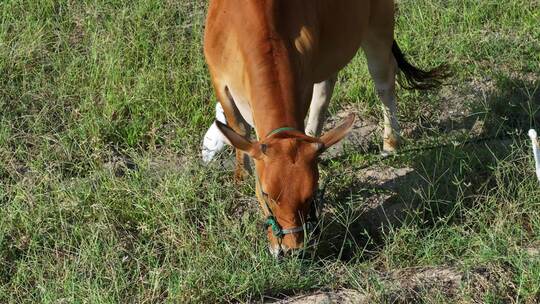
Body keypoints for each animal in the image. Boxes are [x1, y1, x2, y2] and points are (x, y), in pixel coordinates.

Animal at [202, 0, 448, 256]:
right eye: (266, 194)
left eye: (311, 194)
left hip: (379, 23)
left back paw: (390, 142)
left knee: (384, 79)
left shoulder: (302, 82)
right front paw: (241, 175)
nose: (291, 249)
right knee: (326, 89)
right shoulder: (219, 79)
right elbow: (239, 128)